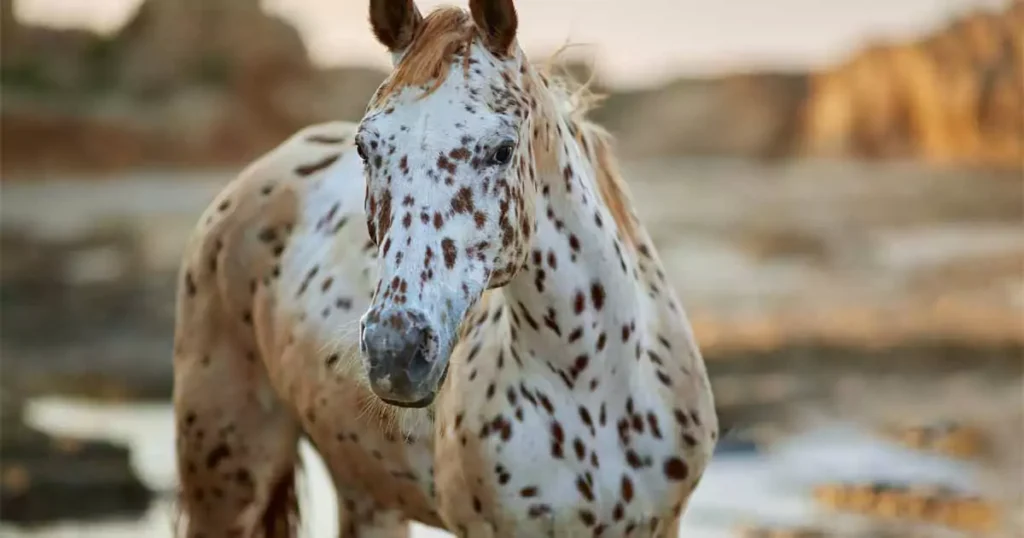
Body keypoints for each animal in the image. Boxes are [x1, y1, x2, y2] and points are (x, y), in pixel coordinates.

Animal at [172, 1, 716, 536]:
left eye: (502, 149)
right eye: (366, 147)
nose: (395, 352)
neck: (590, 384)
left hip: (366, 494)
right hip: (227, 474)